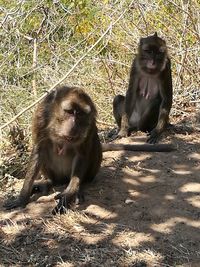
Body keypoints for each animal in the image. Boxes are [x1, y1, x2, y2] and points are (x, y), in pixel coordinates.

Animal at [3, 86, 174, 216]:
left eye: (80, 114)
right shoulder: (41, 116)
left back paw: (78, 187)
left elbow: (82, 153)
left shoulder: (90, 122)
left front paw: (69, 196)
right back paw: (49, 183)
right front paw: (22, 198)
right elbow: (39, 151)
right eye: (70, 112)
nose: (74, 126)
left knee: (93, 144)